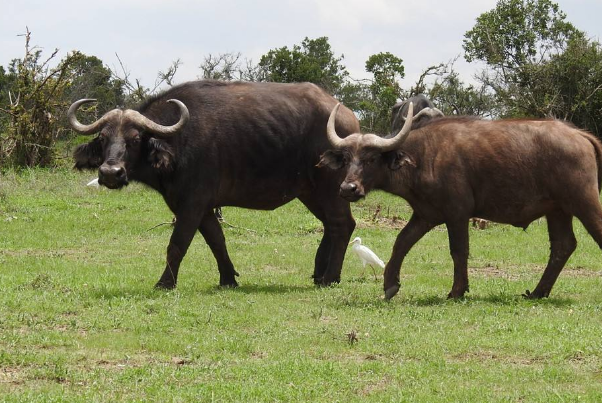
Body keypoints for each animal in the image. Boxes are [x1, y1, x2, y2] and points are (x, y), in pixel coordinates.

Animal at [71, 81, 360, 290]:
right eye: (104, 138)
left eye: (134, 139)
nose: (110, 173)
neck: (178, 141)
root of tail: (347, 117)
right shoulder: (201, 207)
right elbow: (216, 240)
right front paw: (228, 279)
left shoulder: (192, 204)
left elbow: (177, 244)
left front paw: (165, 283)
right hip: (310, 192)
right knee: (329, 225)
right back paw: (319, 273)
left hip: (331, 188)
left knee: (342, 224)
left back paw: (331, 277)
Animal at [318, 103, 600, 300]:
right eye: (346, 158)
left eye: (371, 158)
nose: (348, 188)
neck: (424, 156)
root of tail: (579, 135)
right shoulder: (425, 214)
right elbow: (401, 243)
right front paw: (390, 285)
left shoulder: (457, 213)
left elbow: (458, 250)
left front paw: (457, 290)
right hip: (558, 210)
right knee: (563, 246)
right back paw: (539, 292)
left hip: (584, 203)